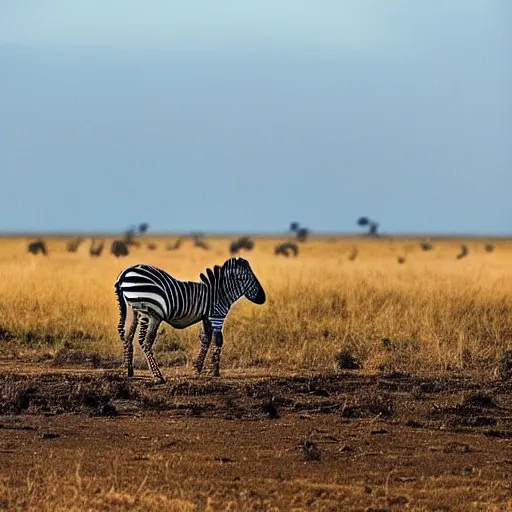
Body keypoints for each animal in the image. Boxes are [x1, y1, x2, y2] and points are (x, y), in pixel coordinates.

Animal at [113, 258, 264, 382]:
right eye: (248, 279)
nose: (263, 298)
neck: (221, 293)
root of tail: (127, 271)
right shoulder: (217, 316)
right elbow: (218, 340)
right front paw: (214, 371)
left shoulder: (206, 317)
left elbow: (205, 339)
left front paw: (198, 368)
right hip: (149, 312)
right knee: (145, 342)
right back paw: (158, 376)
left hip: (134, 311)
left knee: (128, 337)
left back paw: (129, 371)